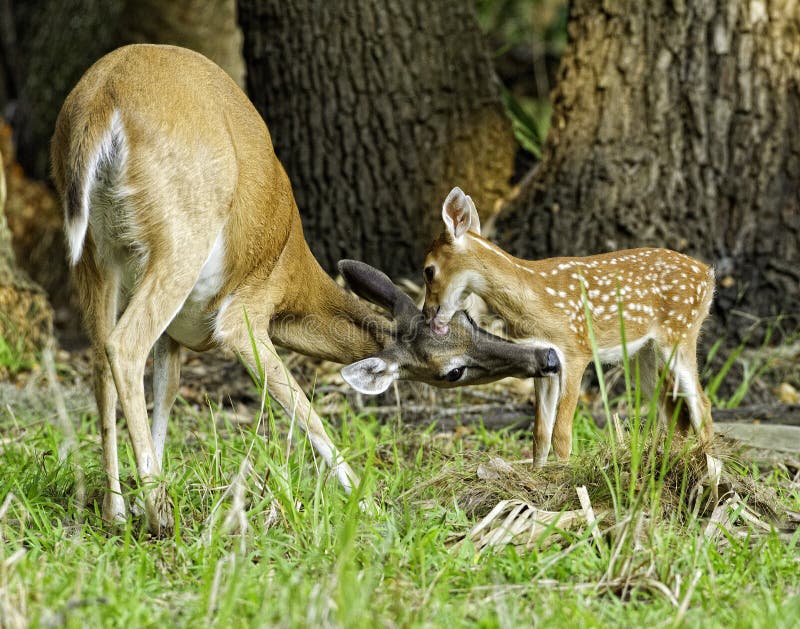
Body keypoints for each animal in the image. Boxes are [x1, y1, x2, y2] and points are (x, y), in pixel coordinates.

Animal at [53, 45, 560, 536]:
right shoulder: (243, 315)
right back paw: (160, 517)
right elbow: (302, 406)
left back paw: (117, 513)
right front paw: (366, 503)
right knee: (123, 345)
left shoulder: (179, 332)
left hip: (95, 255)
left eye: (469, 318)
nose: (548, 358)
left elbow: (167, 393)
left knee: (99, 357)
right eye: (452, 371)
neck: (288, 278)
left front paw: (141, 498)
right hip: (181, 239)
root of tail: (100, 101)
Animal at [422, 184, 716, 464]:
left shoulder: (576, 351)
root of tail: (708, 274)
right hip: (642, 353)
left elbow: (562, 435)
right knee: (673, 409)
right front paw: (538, 476)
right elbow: (540, 434)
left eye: (428, 270)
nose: (426, 314)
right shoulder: (543, 358)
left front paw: (565, 475)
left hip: (680, 333)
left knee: (702, 405)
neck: (535, 298)